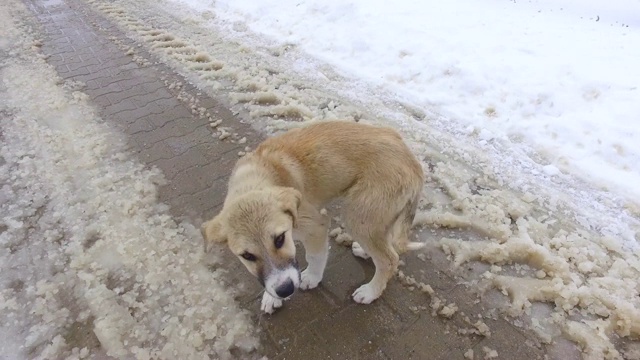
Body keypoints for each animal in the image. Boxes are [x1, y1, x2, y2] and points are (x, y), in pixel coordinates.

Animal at [202, 120, 428, 312]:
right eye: (247, 256)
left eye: (280, 239)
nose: (285, 290)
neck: (255, 181)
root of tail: (413, 162)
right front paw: (272, 297)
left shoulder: (315, 225)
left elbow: (314, 255)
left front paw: (311, 277)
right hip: (374, 214)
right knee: (385, 243)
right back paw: (365, 252)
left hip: (358, 214)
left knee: (389, 259)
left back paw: (371, 291)